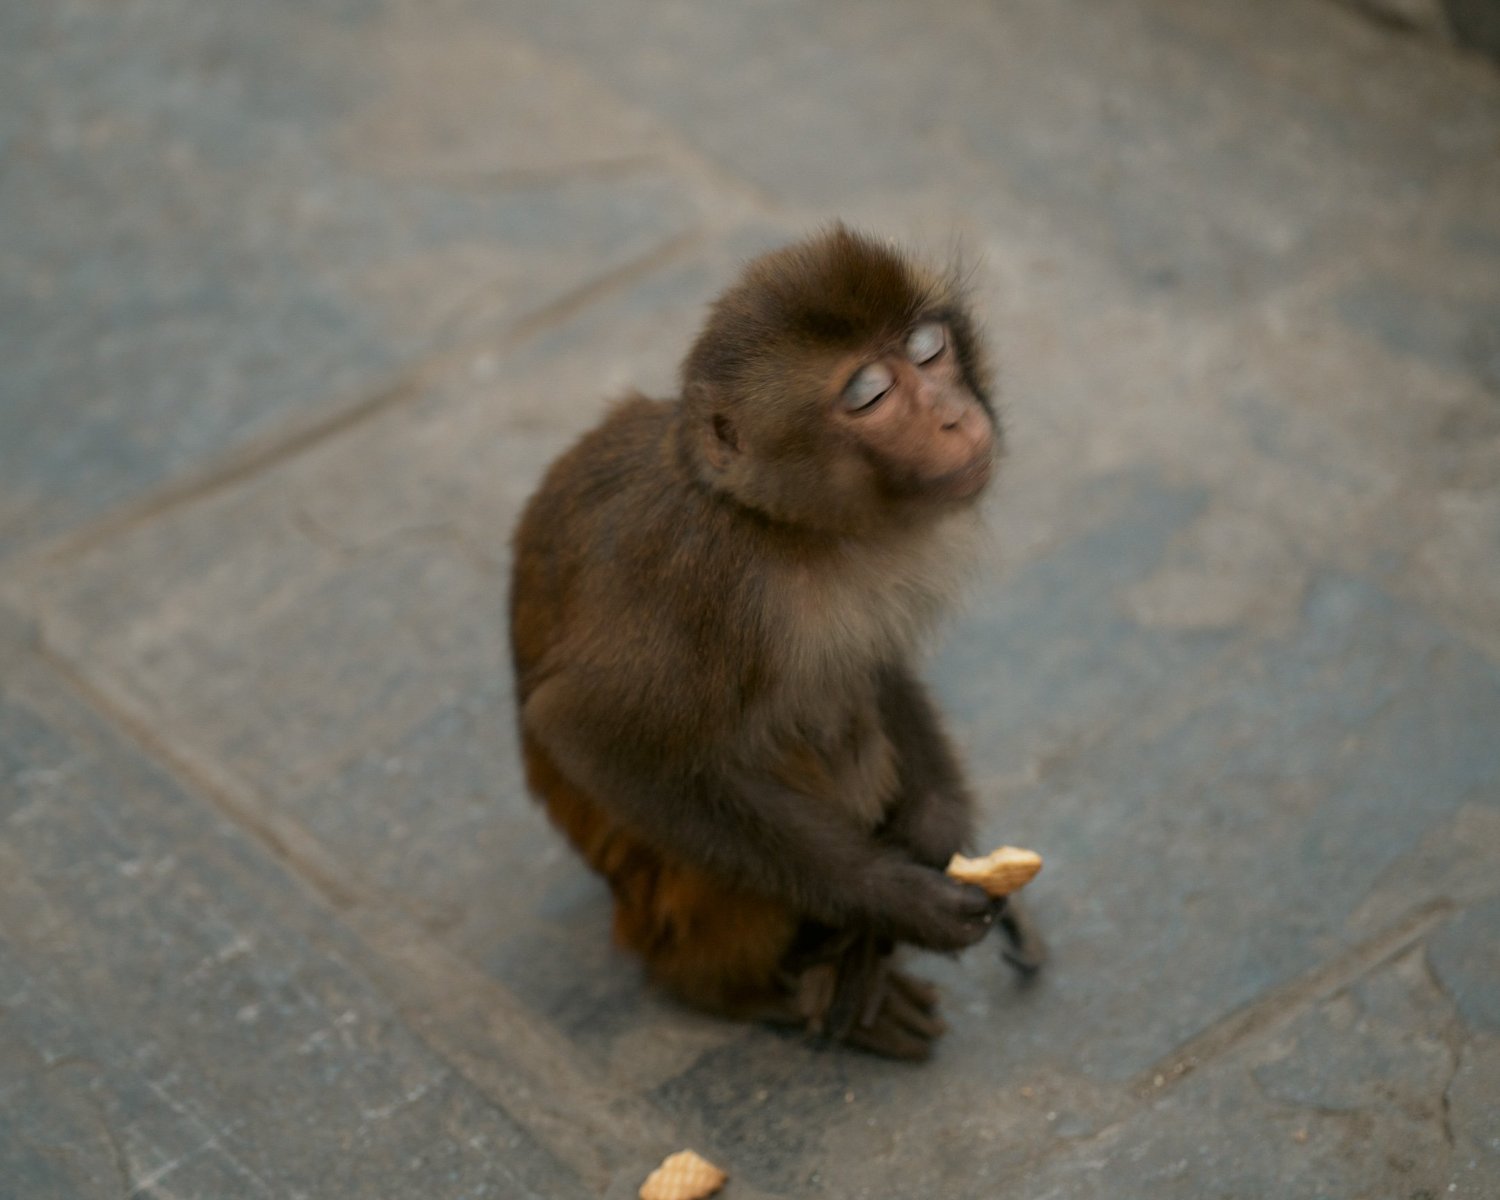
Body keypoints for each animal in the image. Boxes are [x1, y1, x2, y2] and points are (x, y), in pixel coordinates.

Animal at [509, 226, 1039, 1059]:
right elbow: (589, 734)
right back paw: (750, 988)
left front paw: (934, 836)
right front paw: (892, 899)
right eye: (869, 395)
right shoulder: (708, 583)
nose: (954, 417)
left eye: (928, 348)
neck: (792, 531)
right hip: (667, 904)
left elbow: (877, 664)